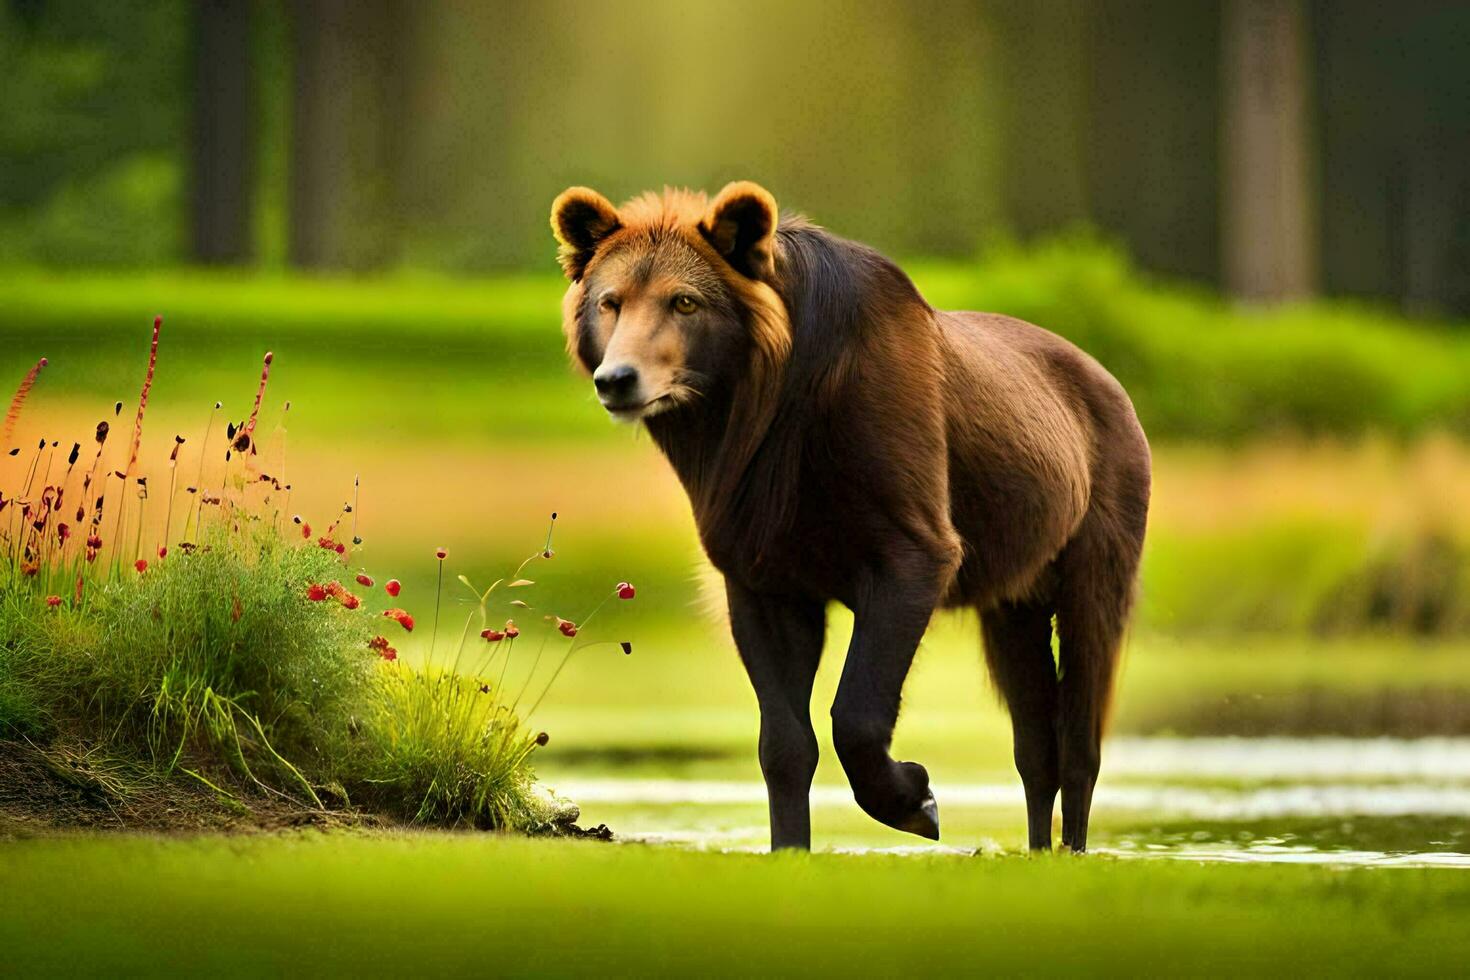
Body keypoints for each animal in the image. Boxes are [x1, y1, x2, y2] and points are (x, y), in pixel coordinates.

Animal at [552, 182, 1146, 852]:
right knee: (1033, 738)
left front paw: (915, 797)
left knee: (1081, 730)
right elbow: (784, 743)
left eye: (685, 300)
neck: (753, 420)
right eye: (610, 301)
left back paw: (1073, 845)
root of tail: (1114, 386)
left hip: (1096, 555)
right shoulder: (759, 566)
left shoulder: (912, 545)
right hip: (1013, 592)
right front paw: (792, 843)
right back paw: (1040, 847)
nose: (618, 378)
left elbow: (856, 714)